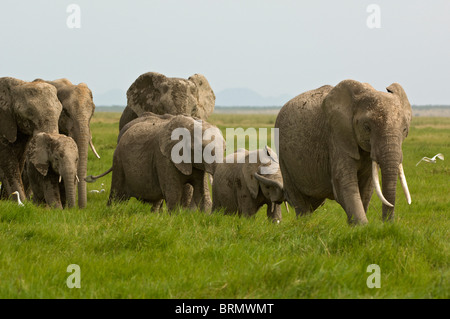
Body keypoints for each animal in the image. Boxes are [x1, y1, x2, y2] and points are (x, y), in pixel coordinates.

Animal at [274, 79, 412, 225]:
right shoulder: (336, 135)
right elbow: (343, 181)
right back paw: (303, 223)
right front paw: (363, 226)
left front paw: (356, 226)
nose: (386, 224)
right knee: (299, 200)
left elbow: (367, 187)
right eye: (367, 127)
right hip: (283, 156)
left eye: (404, 129)